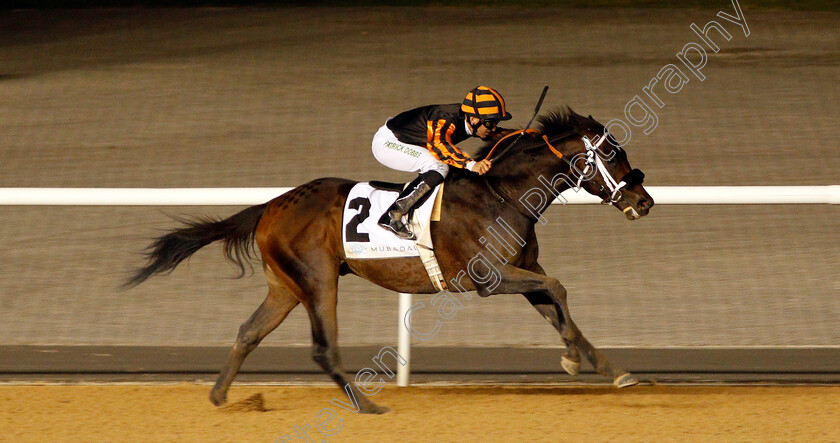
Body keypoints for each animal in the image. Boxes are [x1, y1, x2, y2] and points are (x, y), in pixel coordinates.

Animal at [124, 106, 652, 412]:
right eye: (612, 152)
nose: (644, 202)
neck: (502, 194)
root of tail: (272, 205)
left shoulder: (524, 271)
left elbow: (558, 304)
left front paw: (608, 369)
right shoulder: (488, 277)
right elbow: (559, 288)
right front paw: (573, 360)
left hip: (284, 287)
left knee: (248, 332)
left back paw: (219, 396)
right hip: (318, 280)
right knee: (322, 347)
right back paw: (365, 406)